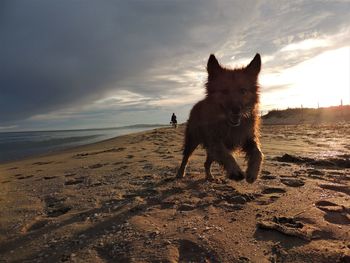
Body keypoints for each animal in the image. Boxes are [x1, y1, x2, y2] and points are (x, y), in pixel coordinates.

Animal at [178, 53, 262, 184]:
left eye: (243, 90)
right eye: (224, 91)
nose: (236, 109)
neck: (229, 125)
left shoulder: (248, 137)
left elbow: (258, 152)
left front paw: (253, 172)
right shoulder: (214, 140)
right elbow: (225, 154)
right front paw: (235, 171)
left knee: (206, 163)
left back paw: (209, 176)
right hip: (192, 140)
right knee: (186, 157)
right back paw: (180, 173)